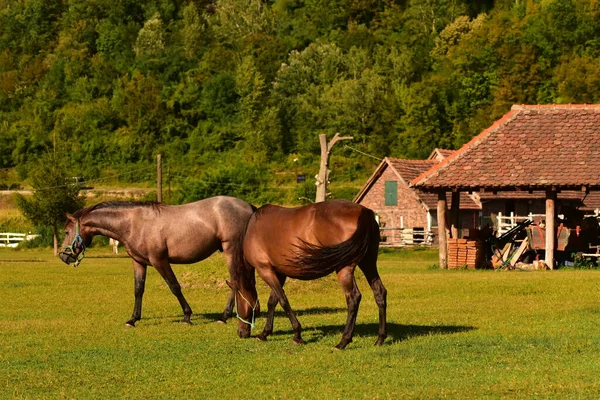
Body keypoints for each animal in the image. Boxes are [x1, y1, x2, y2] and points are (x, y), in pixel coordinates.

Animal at [58, 195, 258, 326]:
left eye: (67, 231)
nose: (63, 256)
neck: (133, 224)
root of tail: (249, 207)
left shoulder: (159, 261)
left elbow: (174, 286)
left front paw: (187, 316)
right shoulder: (138, 262)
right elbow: (138, 289)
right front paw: (133, 319)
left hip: (231, 250)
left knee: (235, 280)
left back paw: (224, 316)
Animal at [230, 200, 390, 350]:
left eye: (237, 301)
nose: (240, 333)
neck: (253, 229)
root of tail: (364, 211)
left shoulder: (265, 270)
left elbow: (283, 301)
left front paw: (297, 335)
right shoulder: (279, 273)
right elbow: (273, 301)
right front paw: (265, 333)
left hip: (345, 269)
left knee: (353, 298)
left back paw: (343, 342)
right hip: (368, 263)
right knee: (379, 292)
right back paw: (380, 339)